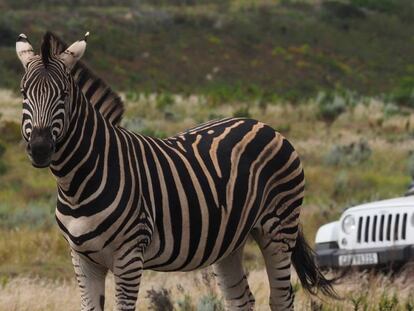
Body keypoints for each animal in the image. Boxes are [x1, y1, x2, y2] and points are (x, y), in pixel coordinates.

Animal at [15, 32, 336, 311]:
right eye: (23, 93)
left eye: (64, 94)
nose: (40, 148)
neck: (78, 182)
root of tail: (262, 124)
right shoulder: (82, 259)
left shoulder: (129, 256)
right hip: (230, 241)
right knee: (241, 300)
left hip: (278, 230)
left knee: (281, 298)